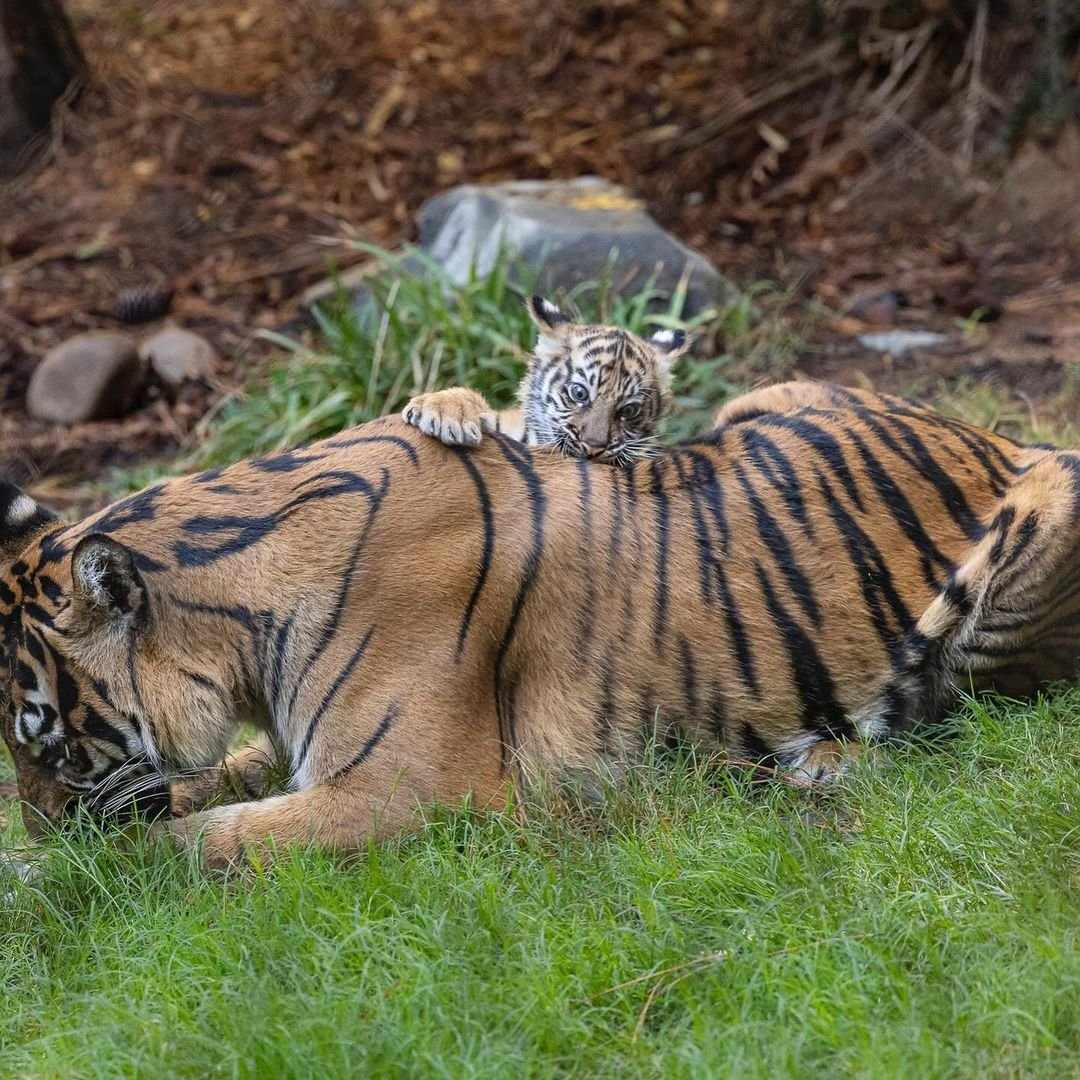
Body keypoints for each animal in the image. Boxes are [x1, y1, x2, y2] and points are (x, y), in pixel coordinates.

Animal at [3, 382, 1080, 870]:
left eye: (43, 738)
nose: (37, 822)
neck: (241, 640)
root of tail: (1006, 438)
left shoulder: (405, 792)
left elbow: (194, 840)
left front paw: (58, 873)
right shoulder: (296, 744)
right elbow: (210, 785)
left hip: (1031, 530)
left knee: (969, 714)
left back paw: (819, 766)